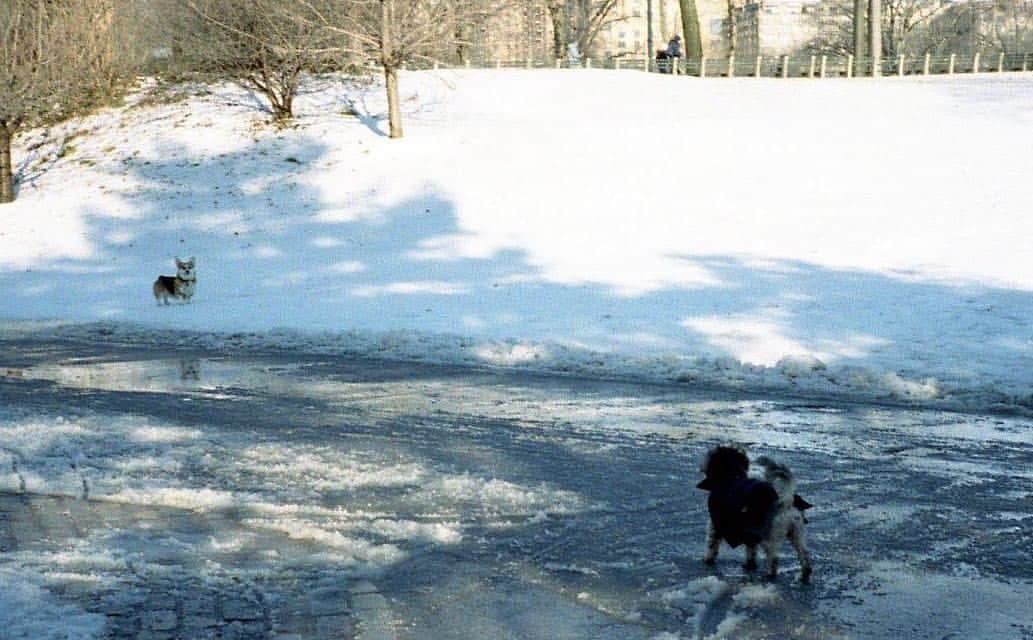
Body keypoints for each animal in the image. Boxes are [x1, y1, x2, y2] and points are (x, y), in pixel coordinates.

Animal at [694, 448, 814, 582]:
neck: (731, 477)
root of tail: (785, 503)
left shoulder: (716, 524)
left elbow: (712, 544)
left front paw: (708, 559)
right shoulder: (749, 531)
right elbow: (751, 549)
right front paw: (749, 564)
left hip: (769, 536)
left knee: (773, 557)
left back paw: (770, 574)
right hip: (796, 533)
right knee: (804, 554)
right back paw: (804, 575)